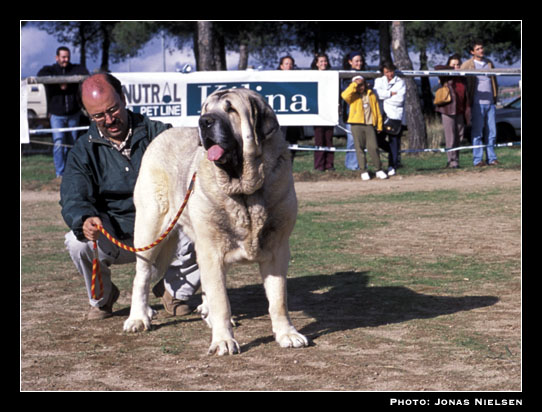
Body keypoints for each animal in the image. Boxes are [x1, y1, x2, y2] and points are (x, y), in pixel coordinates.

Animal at [124, 88, 310, 356]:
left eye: (230, 109)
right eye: (205, 110)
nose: (204, 122)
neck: (244, 191)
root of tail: (163, 135)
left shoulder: (277, 250)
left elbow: (278, 299)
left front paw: (287, 333)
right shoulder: (212, 249)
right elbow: (222, 300)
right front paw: (223, 340)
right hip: (152, 229)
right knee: (142, 276)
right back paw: (138, 318)